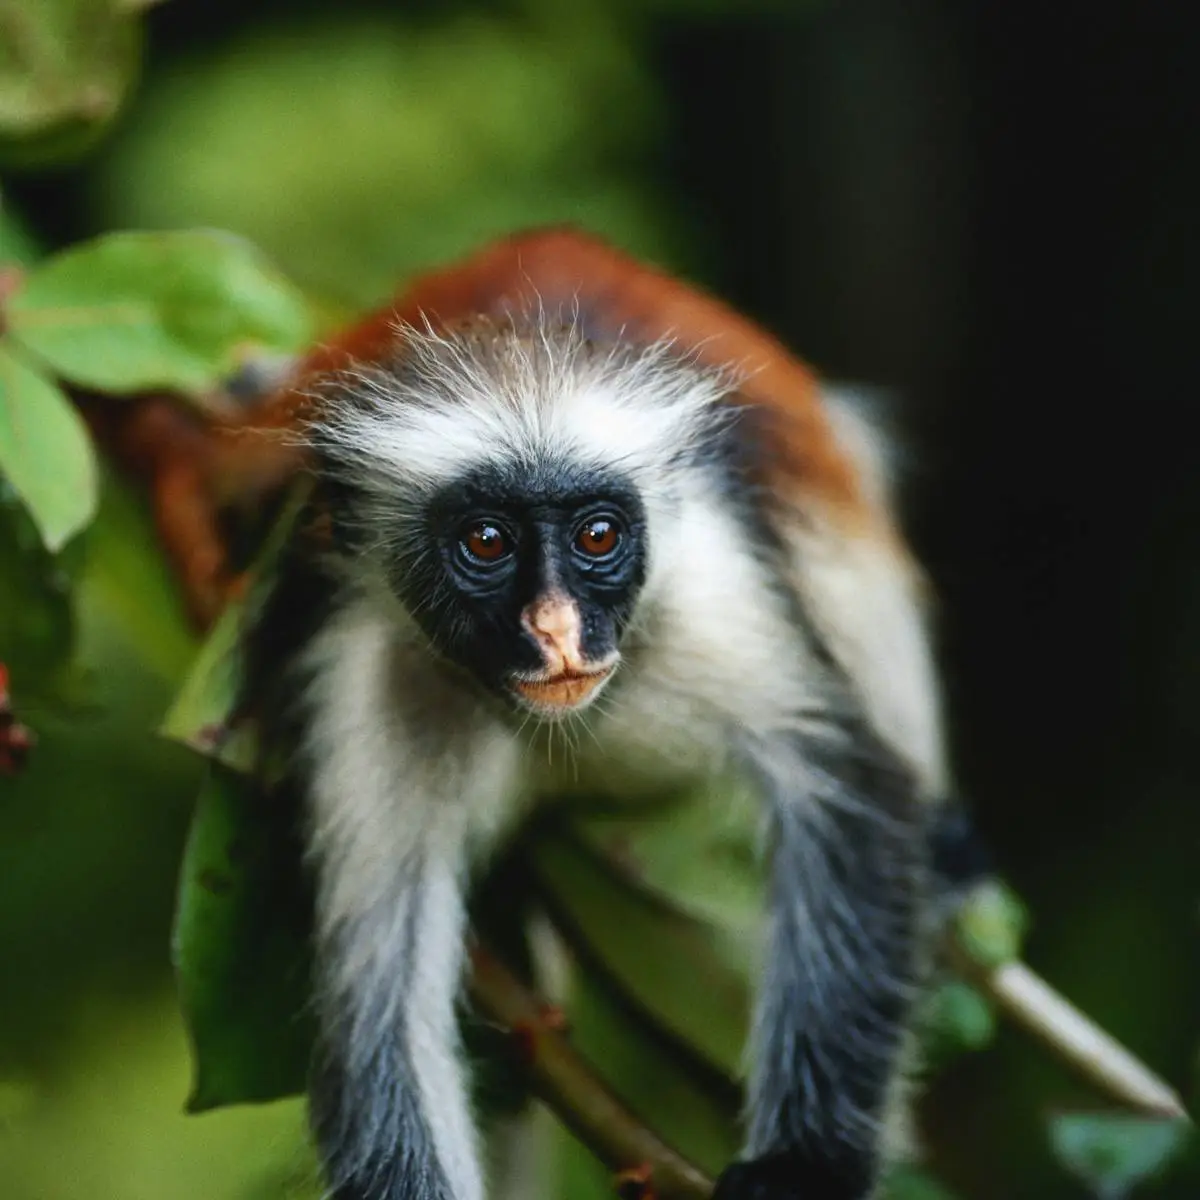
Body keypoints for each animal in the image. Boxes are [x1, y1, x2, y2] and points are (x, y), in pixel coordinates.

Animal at [192, 226, 950, 1200]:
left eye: (597, 535)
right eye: (486, 542)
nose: (556, 629)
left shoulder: (708, 586)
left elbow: (847, 792)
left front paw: (800, 1169)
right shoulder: (369, 665)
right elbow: (378, 993)